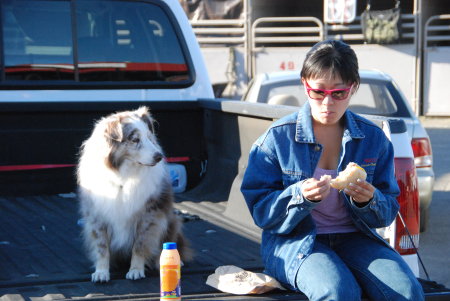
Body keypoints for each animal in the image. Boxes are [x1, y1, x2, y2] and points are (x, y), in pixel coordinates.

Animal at [77, 106, 190, 282]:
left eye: (149, 137)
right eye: (135, 139)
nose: (159, 156)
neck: (124, 175)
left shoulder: (148, 215)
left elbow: (140, 244)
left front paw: (136, 270)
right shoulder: (97, 215)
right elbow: (102, 247)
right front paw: (101, 271)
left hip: (171, 220)